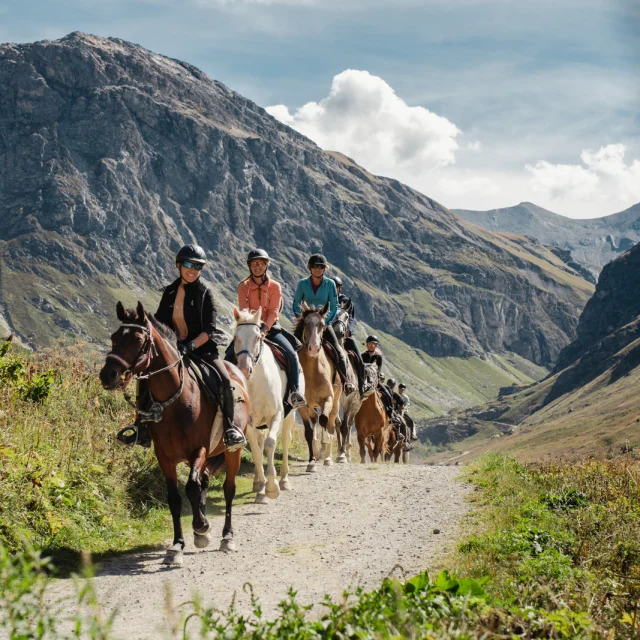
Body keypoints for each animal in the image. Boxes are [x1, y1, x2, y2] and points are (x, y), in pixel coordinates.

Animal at [100, 302, 250, 564]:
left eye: (138, 339)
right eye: (114, 337)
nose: (107, 375)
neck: (175, 401)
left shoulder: (198, 449)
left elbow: (191, 487)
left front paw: (200, 526)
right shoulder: (164, 456)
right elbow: (174, 498)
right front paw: (178, 544)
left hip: (232, 451)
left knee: (227, 489)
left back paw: (226, 537)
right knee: (205, 480)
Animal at [232, 310, 304, 504]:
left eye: (257, 337)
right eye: (236, 337)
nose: (244, 369)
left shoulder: (277, 415)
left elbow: (270, 444)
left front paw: (272, 487)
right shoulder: (249, 423)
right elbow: (257, 452)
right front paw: (262, 490)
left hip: (290, 415)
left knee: (285, 440)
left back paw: (284, 480)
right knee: (259, 441)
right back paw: (258, 482)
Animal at [296, 302, 342, 472]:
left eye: (322, 325)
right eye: (305, 324)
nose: (314, 348)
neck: (312, 372)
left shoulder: (327, 399)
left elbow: (325, 421)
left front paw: (326, 450)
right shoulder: (302, 404)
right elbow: (309, 432)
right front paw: (312, 461)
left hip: (336, 402)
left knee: (331, 422)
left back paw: (328, 456)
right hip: (311, 405)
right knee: (315, 419)